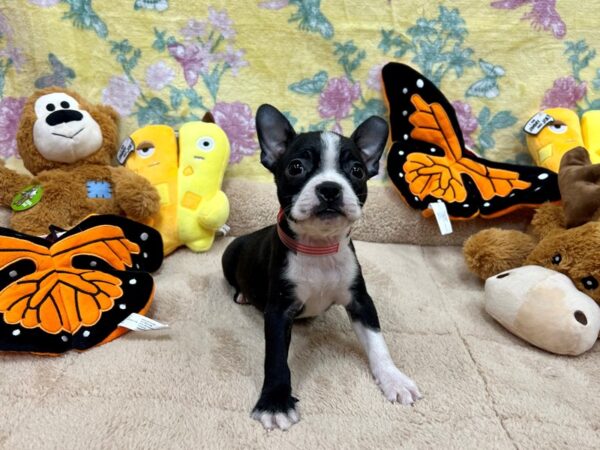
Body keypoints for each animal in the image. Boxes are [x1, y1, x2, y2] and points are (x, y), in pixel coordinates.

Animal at [221, 103, 422, 430]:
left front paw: (394, 379)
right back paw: (241, 294)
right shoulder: (279, 310)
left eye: (357, 171)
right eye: (295, 168)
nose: (330, 188)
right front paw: (275, 402)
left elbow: (378, 343)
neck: (319, 248)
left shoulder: (360, 300)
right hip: (228, 256)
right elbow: (276, 358)